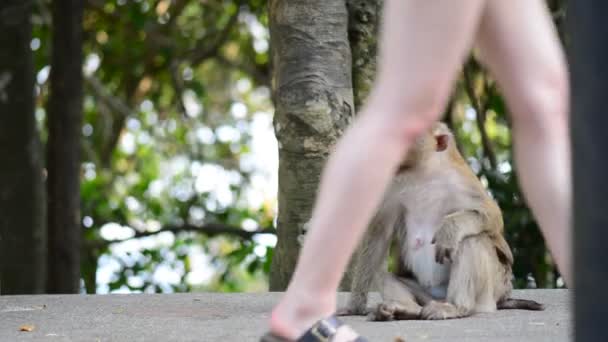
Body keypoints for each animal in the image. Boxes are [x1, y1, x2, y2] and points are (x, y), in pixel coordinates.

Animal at [338, 121, 540, 320]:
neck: (424, 172)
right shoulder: (393, 184)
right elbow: (378, 235)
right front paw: (354, 307)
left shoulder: (461, 181)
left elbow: (492, 216)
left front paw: (449, 230)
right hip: (426, 294)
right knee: (382, 275)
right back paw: (407, 309)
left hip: (495, 287)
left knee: (472, 240)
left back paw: (456, 307)